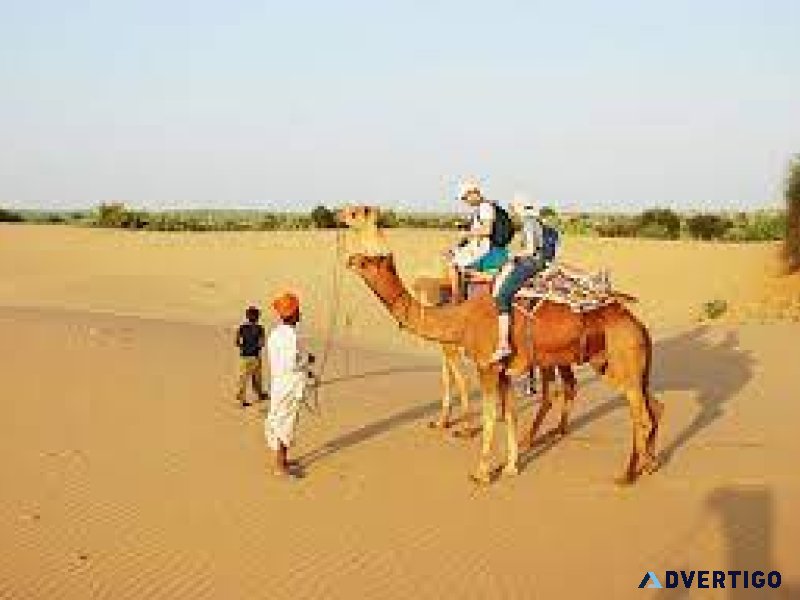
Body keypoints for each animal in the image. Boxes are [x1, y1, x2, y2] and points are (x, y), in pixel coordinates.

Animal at [346, 251, 664, 486]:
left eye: (368, 261)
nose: (350, 258)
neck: (462, 318)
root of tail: (638, 324)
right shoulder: (503, 371)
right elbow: (510, 413)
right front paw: (511, 466)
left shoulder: (487, 366)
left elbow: (490, 415)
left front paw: (481, 473)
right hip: (618, 363)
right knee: (653, 406)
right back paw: (648, 465)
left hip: (622, 358)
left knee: (640, 416)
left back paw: (627, 475)